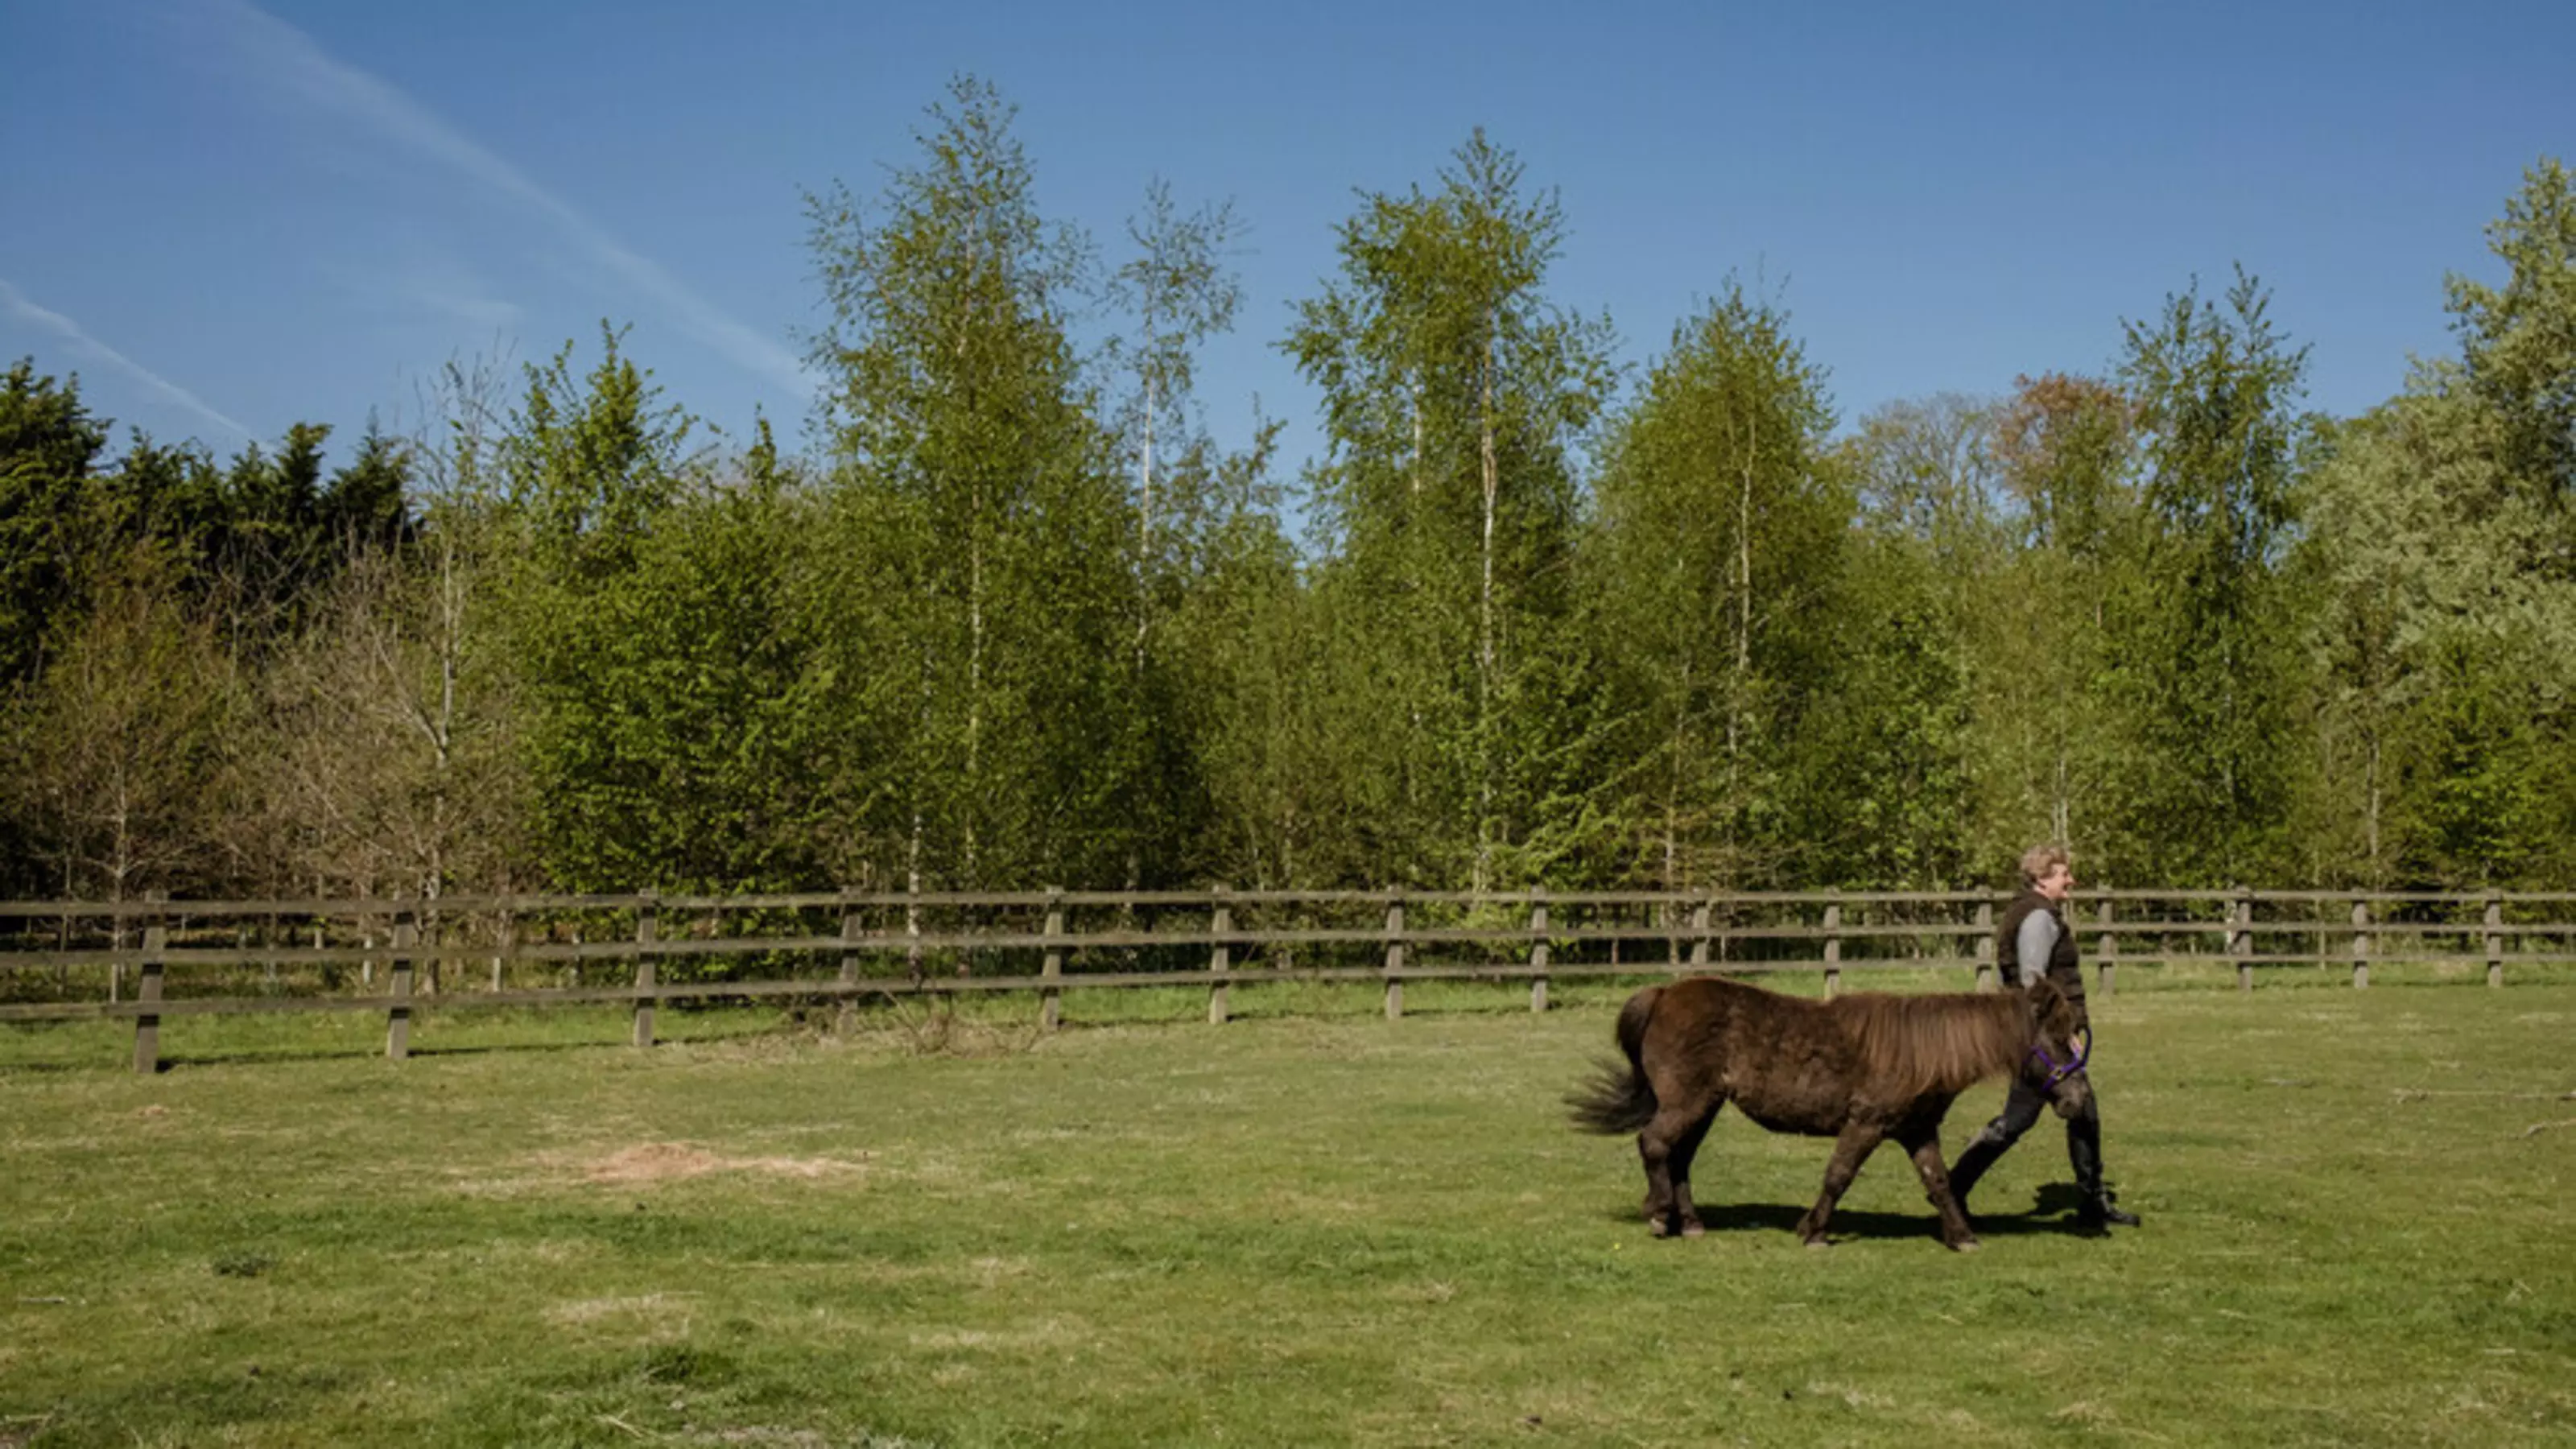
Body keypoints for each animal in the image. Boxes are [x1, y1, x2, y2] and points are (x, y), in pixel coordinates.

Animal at [1566, 974, 2091, 1248]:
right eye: (2058, 1038)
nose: (2079, 1100)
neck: (1921, 1052)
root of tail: (1662, 994)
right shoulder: (1866, 1124)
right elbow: (1838, 1176)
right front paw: (1814, 1231)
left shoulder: (1917, 1130)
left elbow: (1939, 1182)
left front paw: (1961, 1235)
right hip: (1687, 1101)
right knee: (1655, 1144)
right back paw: (1659, 1216)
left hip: (1705, 1105)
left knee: (1679, 1159)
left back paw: (1690, 1223)